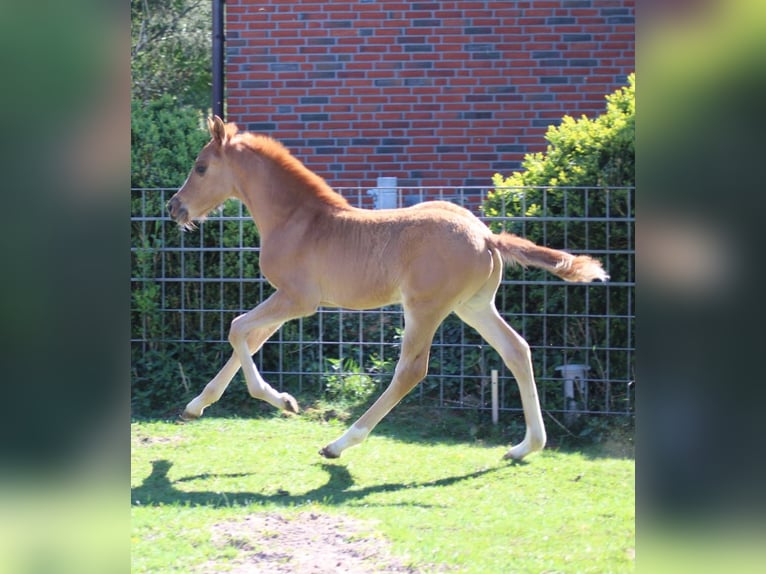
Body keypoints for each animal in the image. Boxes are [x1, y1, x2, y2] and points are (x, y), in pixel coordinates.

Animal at [167, 116, 608, 460]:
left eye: (201, 167)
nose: (174, 207)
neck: (297, 220)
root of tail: (486, 236)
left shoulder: (298, 299)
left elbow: (237, 328)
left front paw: (283, 401)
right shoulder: (288, 300)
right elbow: (251, 339)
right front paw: (195, 406)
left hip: (425, 308)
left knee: (411, 369)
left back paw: (340, 444)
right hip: (473, 306)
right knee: (517, 350)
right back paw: (525, 446)